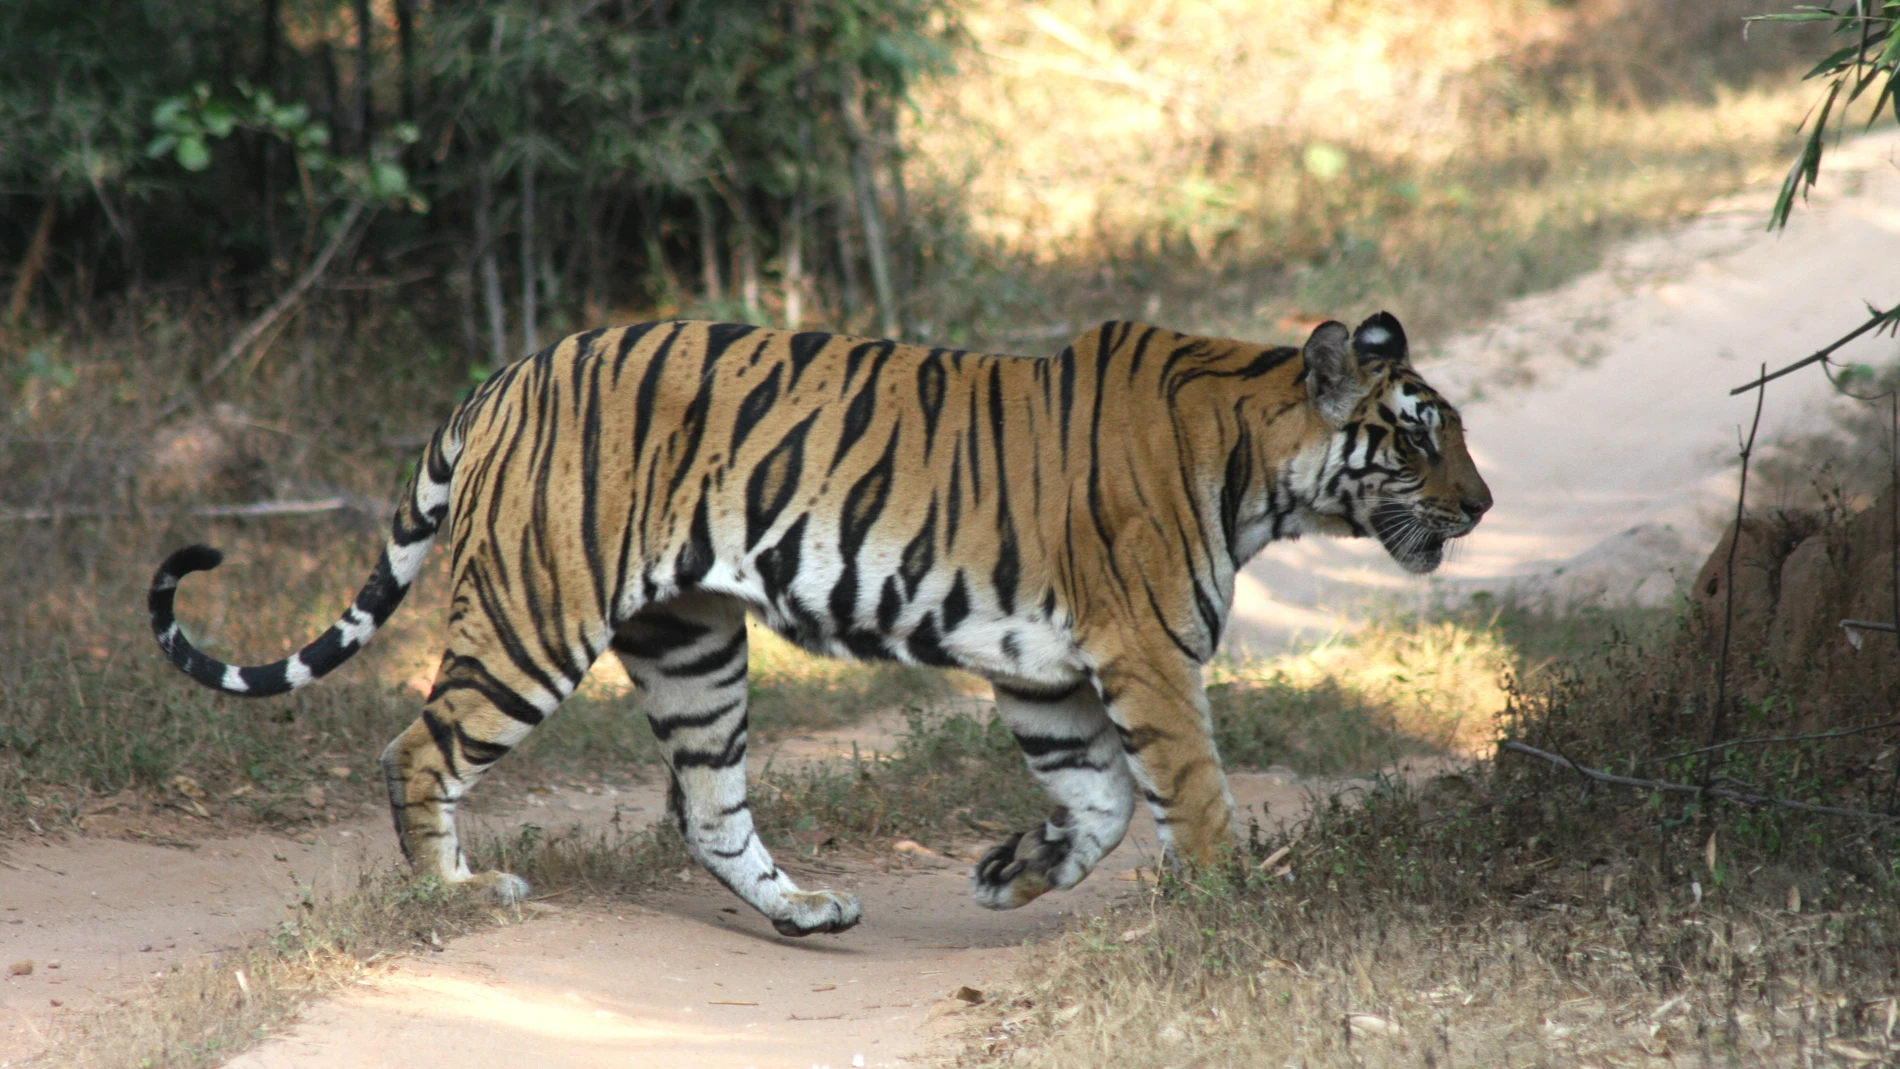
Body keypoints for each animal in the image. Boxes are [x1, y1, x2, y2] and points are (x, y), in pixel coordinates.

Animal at [148, 312, 1489, 936]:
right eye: (1421, 436)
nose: (1482, 505)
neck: (1261, 460)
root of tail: (511, 371)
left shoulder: (1046, 674)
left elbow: (1102, 803)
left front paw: (1012, 870)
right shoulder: (1149, 658)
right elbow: (1192, 797)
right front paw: (1232, 909)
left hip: (693, 643)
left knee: (707, 805)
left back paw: (802, 911)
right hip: (536, 617)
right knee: (418, 745)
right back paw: (455, 892)